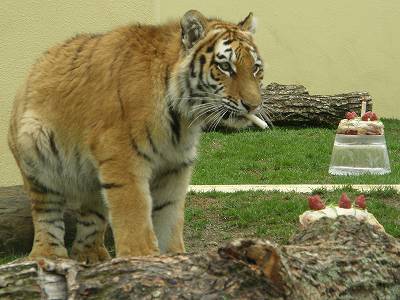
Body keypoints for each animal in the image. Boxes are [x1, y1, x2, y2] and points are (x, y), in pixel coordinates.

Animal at [7, 9, 266, 262]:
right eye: (225, 67)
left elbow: (170, 219)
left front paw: (174, 259)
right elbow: (134, 215)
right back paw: (49, 256)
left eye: (255, 68)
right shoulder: (122, 158)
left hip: (91, 178)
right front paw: (141, 258)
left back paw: (93, 257)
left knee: (90, 221)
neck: (181, 120)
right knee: (46, 216)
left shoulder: (174, 167)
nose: (253, 105)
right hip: (36, 158)